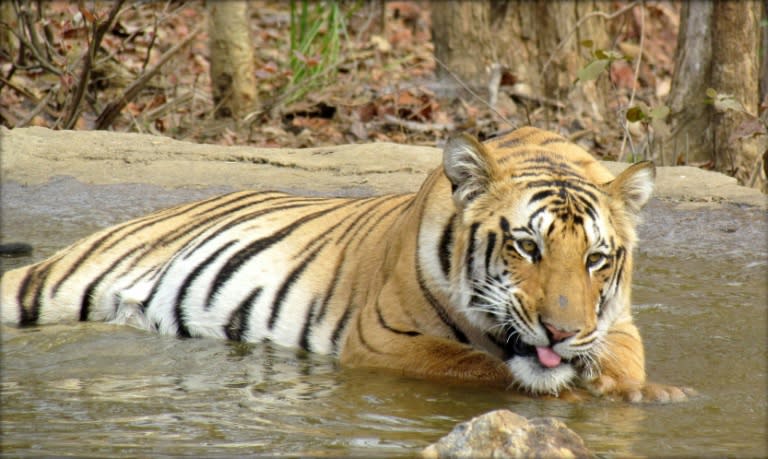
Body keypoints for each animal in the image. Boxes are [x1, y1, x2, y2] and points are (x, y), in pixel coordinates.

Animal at [0, 126, 692, 402]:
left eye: (597, 259)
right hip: (50, 282)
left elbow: (623, 358)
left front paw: (645, 392)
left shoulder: (616, 323)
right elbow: (482, 367)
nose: (562, 332)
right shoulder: (384, 339)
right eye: (527, 246)